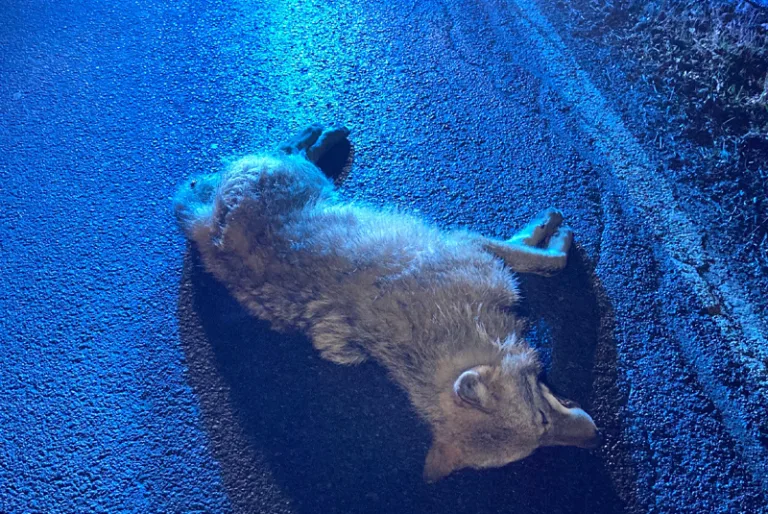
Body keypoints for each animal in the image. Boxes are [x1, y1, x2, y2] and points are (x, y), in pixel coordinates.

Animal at [174, 124, 601, 481]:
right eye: (542, 427)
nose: (596, 436)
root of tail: (203, 224)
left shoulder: (470, 246)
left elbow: (525, 250)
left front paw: (542, 232)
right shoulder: (470, 245)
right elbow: (547, 260)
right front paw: (555, 236)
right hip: (300, 174)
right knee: (288, 148)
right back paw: (323, 135)